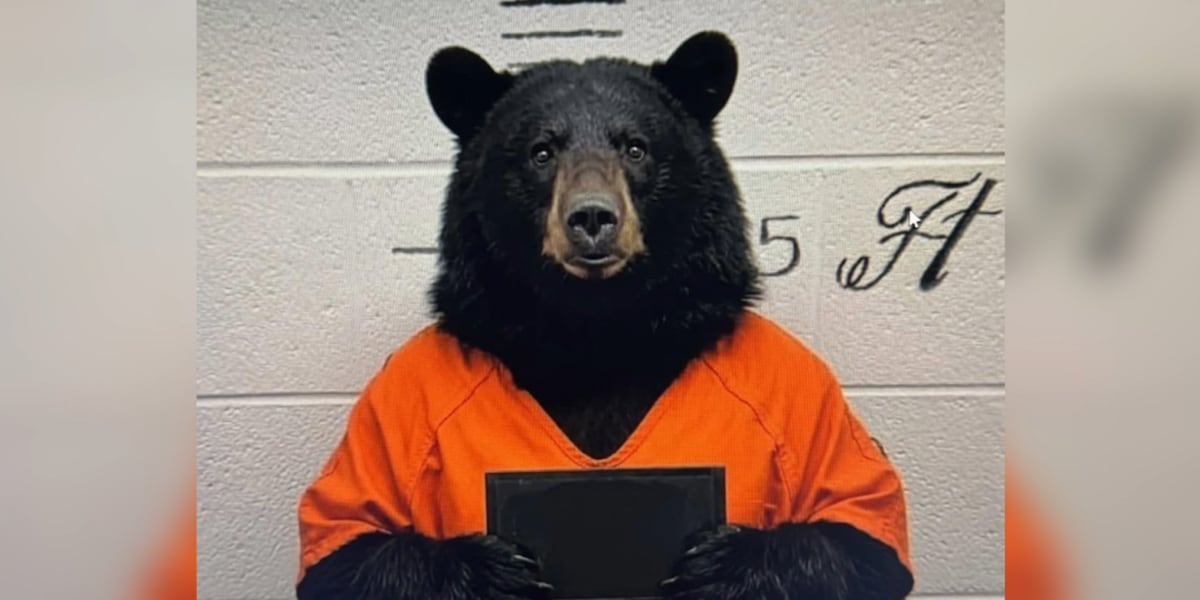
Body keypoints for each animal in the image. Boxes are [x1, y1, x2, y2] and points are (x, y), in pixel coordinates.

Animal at [295, 31, 915, 600]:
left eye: (635, 147)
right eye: (542, 151)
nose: (592, 217)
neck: (597, 336)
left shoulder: (793, 385)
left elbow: (858, 542)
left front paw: (713, 566)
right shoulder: (407, 395)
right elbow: (349, 550)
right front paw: (499, 573)